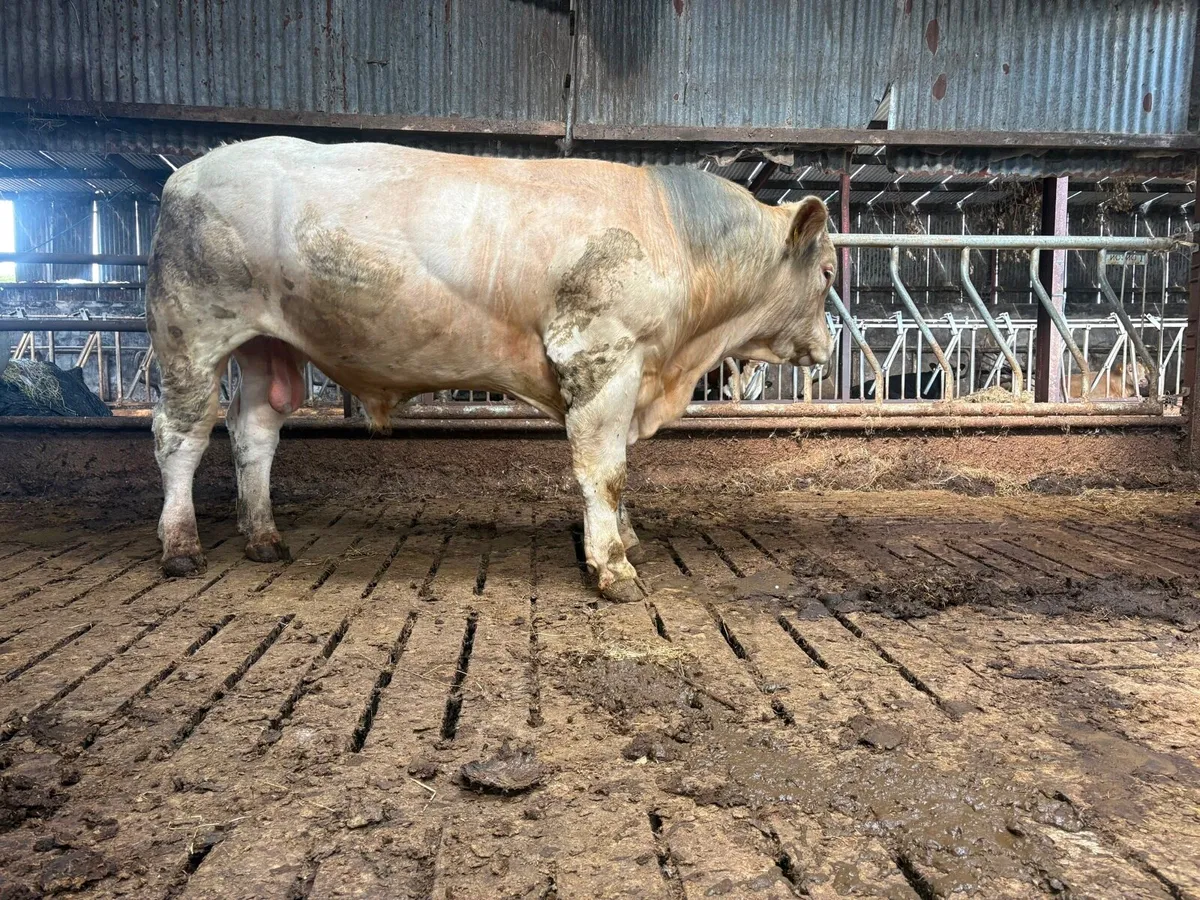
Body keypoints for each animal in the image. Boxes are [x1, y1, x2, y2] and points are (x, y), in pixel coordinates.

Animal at [146, 137, 835, 602]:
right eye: (828, 271)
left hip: (265, 346)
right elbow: (604, 471)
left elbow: (618, 469)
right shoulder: (600, 356)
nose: (828, 354)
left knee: (254, 432)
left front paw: (625, 538)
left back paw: (263, 537)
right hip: (191, 332)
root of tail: (189, 172)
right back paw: (180, 547)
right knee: (180, 434)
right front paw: (613, 567)